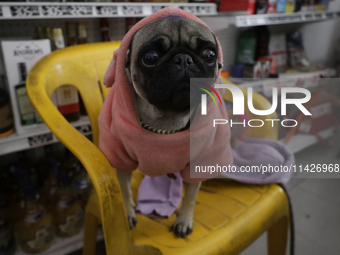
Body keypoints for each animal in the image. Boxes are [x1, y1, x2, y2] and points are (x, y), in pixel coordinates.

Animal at [116, 16, 223, 237]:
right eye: (149, 57)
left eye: (209, 55)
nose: (183, 59)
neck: (167, 121)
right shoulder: (121, 161)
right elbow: (125, 190)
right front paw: (127, 212)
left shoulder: (196, 165)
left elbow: (190, 198)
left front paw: (183, 220)